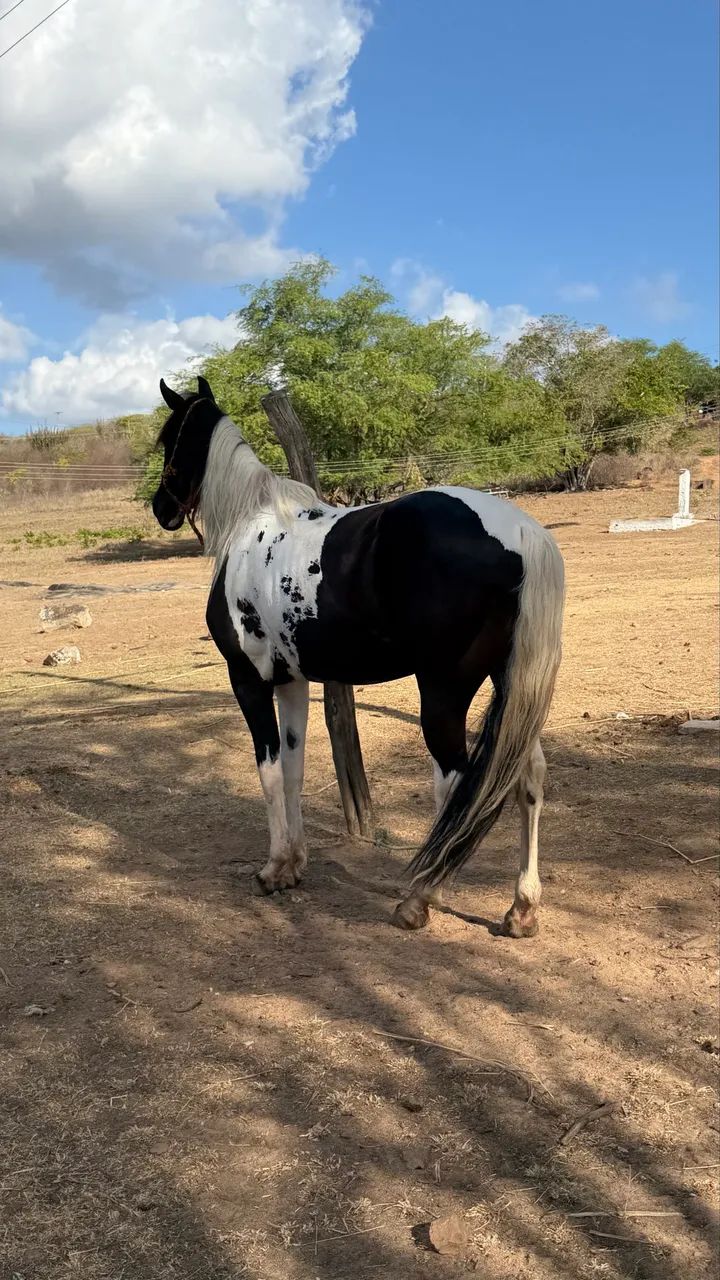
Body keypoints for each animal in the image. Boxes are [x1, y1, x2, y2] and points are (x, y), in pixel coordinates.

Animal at [151, 376, 565, 936]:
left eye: (168, 440)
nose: (161, 507)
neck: (250, 526)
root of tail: (521, 531)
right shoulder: (292, 681)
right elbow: (294, 767)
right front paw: (293, 865)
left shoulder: (248, 680)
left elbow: (269, 770)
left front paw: (271, 870)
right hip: (512, 685)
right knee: (528, 777)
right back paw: (522, 908)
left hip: (444, 692)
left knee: (458, 783)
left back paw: (420, 898)